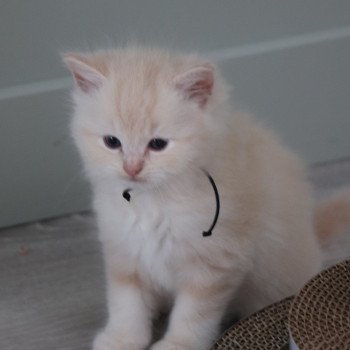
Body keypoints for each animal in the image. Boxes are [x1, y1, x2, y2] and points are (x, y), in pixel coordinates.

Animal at [63, 47, 350, 350]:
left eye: (158, 144)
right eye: (112, 142)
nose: (131, 168)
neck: (153, 203)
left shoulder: (214, 263)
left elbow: (193, 314)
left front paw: (177, 344)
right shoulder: (124, 249)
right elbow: (127, 304)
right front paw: (122, 338)